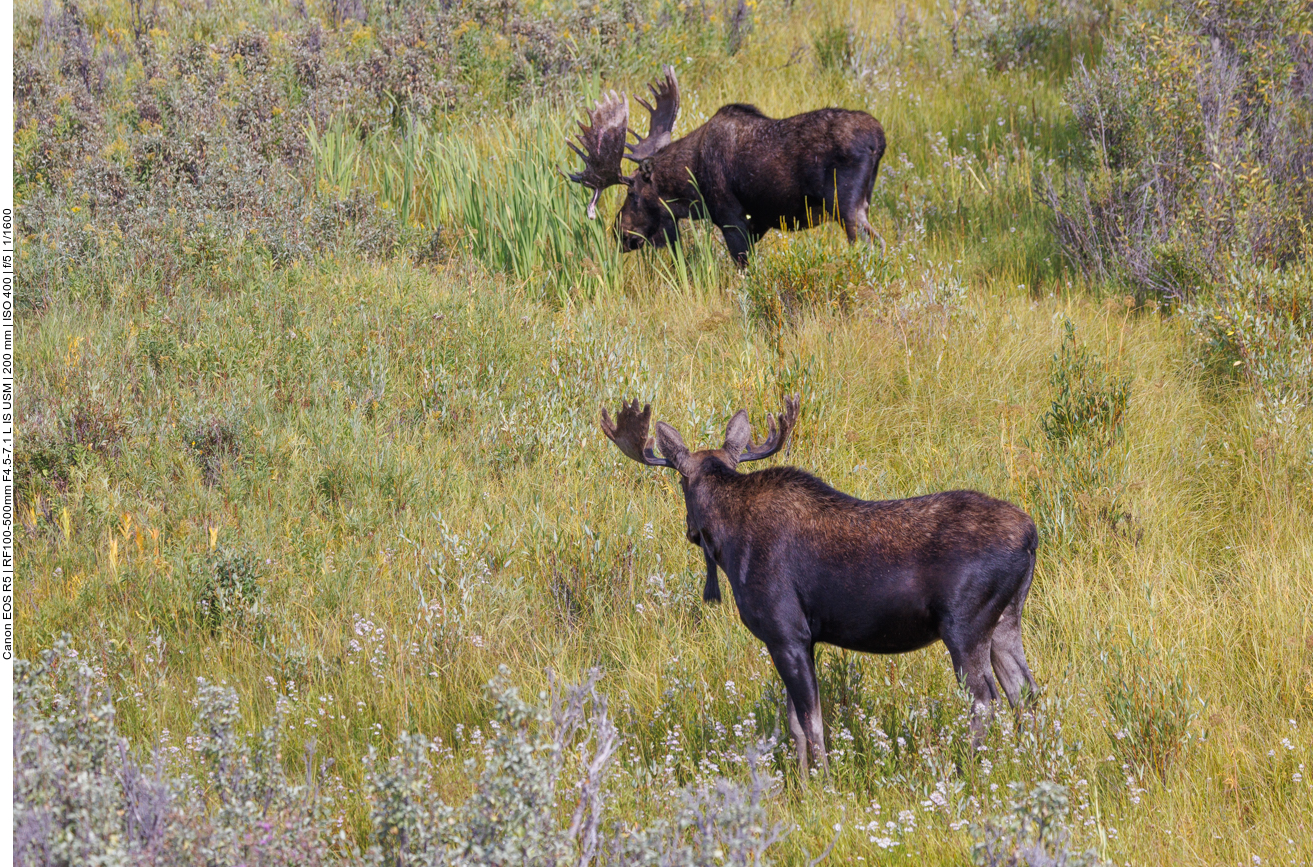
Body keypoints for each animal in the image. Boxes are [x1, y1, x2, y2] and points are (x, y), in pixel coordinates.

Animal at [567, 67, 887, 265]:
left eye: (632, 194)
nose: (620, 233)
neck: (690, 191)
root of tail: (879, 140)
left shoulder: (731, 219)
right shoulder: (758, 222)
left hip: (845, 206)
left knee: (873, 244)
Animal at [601, 396, 1039, 777]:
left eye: (680, 482)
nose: (691, 530)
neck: (728, 541)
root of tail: (1031, 536)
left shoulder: (787, 633)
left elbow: (812, 722)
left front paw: (825, 782)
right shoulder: (799, 640)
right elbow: (795, 723)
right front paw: (803, 782)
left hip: (964, 625)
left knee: (985, 700)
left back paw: (970, 768)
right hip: (1006, 620)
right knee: (1026, 691)